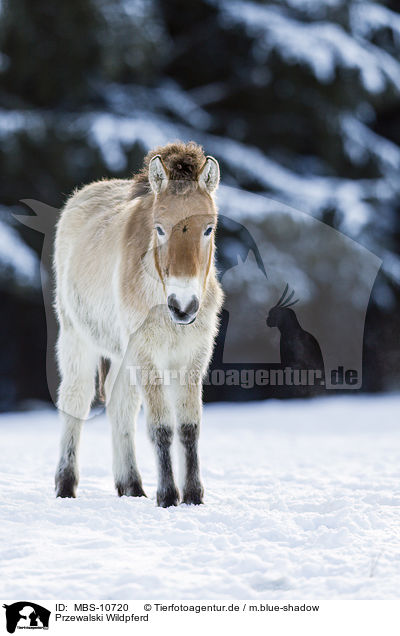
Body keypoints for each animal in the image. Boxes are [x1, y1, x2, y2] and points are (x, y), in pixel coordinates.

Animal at [53, 143, 223, 506]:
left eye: (208, 229)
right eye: (159, 228)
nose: (183, 306)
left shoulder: (193, 357)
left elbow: (189, 427)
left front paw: (194, 495)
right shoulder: (148, 357)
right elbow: (161, 428)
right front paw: (168, 496)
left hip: (122, 355)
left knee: (120, 406)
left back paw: (130, 485)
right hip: (76, 338)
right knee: (75, 400)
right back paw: (65, 486)